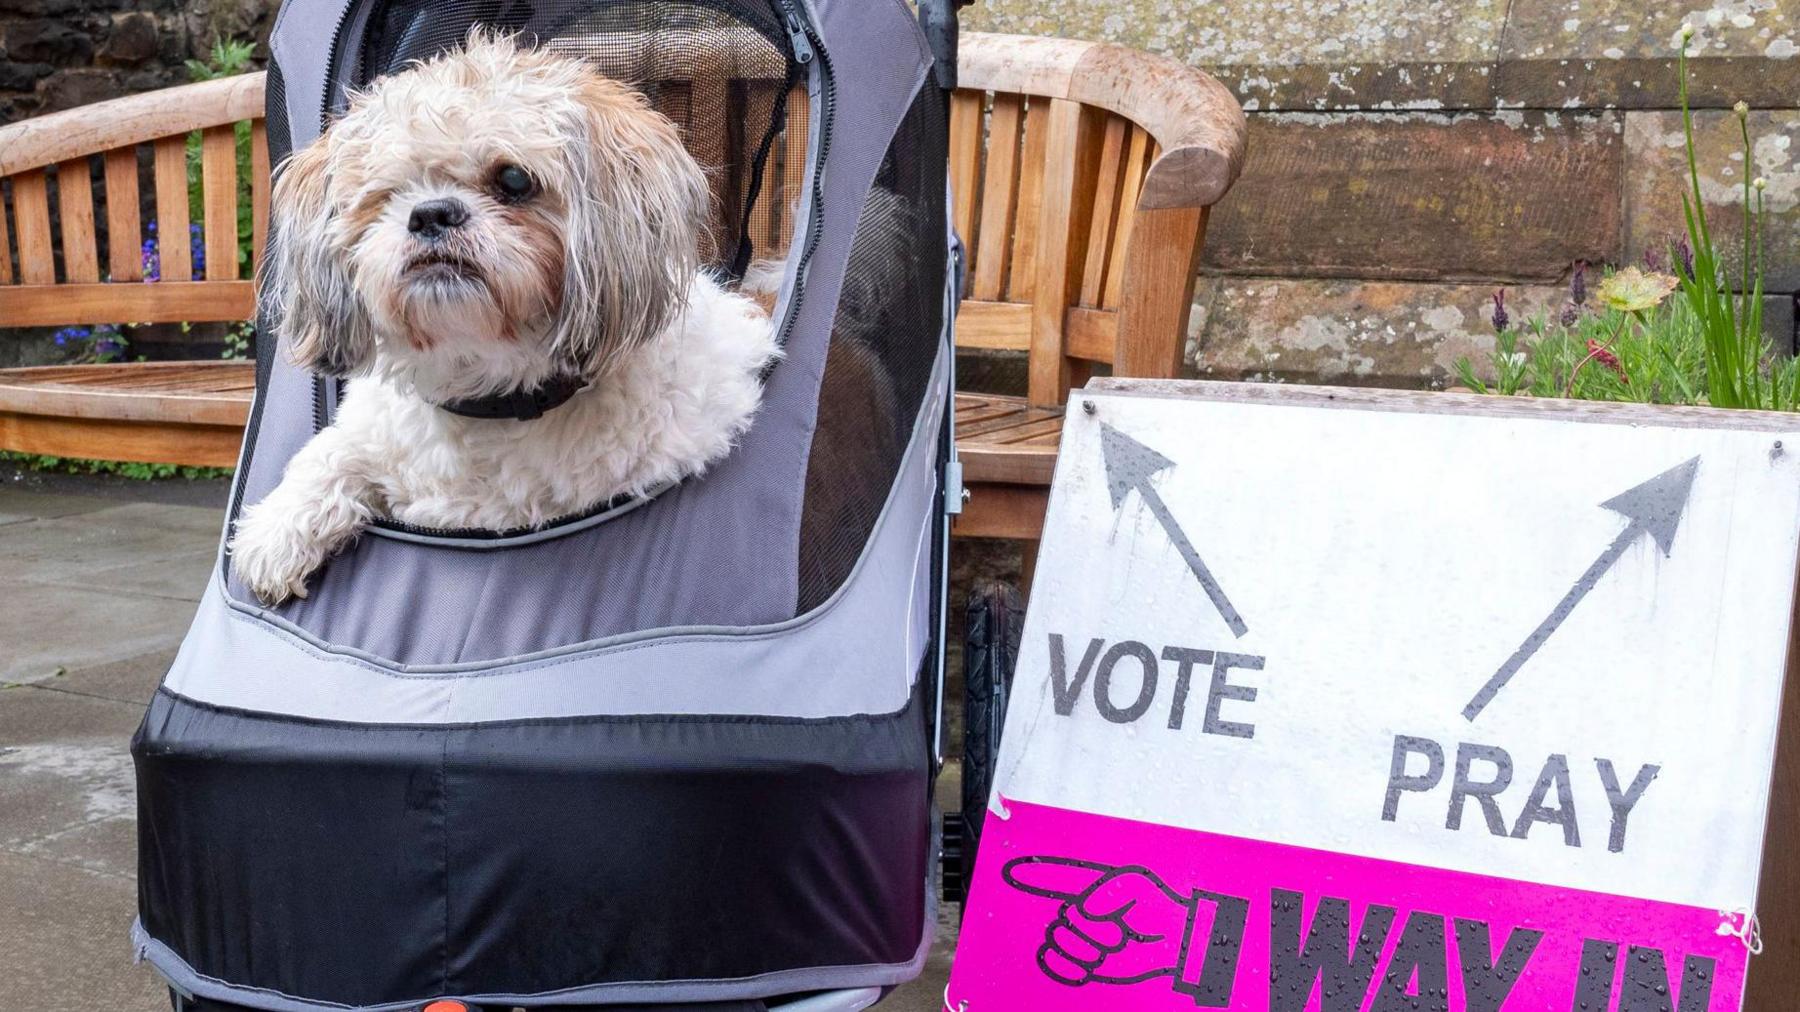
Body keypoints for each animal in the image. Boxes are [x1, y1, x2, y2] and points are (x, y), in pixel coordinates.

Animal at [230, 29, 781, 597]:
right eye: (386, 193)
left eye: (514, 180)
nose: (431, 213)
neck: (490, 394)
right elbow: (330, 451)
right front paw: (276, 532)